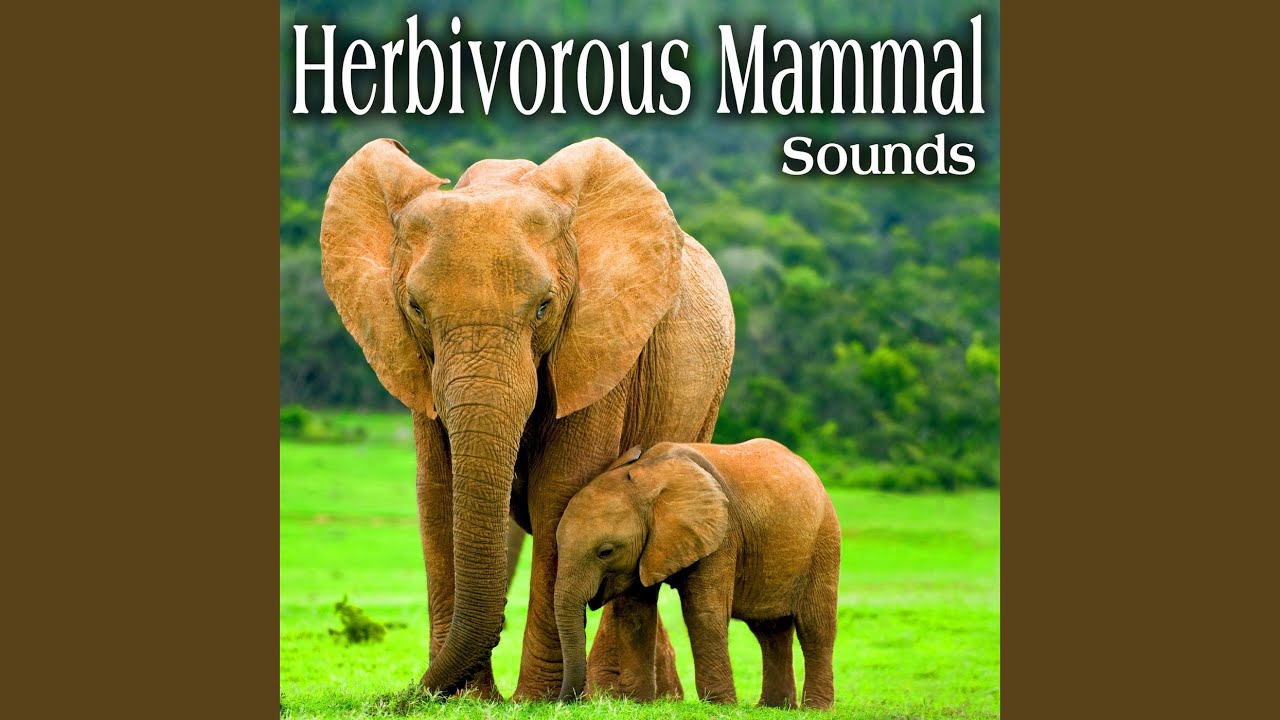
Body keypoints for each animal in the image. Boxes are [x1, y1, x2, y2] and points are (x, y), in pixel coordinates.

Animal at [318, 137, 735, 700]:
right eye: (416, 308)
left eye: (543, 307)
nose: (405, 697)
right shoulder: (416, 363)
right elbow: (438, 490)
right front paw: (468, 700)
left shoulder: (598, 343)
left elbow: (560, 490)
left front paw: (536, 700)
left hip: (707, 394)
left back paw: (619, 695)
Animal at [553, 440, 840, 709]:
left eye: (606, 551)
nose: (564, 702)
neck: (647, 477)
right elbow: (636, 614)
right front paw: (639, 703)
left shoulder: (721, 534)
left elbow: (703, 611)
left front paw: (720, 705)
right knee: (769, 630)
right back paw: (774, 707)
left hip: (824, 541)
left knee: (815, 626)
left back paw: (815, 709)